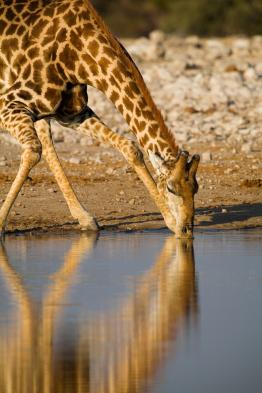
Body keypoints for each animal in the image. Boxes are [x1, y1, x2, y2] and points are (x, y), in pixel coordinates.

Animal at [0, 0, 201, 236]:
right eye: (171, 187)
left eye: (196, 188)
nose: (186, 229)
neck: (77, 56)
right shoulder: (8, 104)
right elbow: (33, 151)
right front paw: (0, 223)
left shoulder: (72, 113)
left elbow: (130, 147)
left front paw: (169, 220)